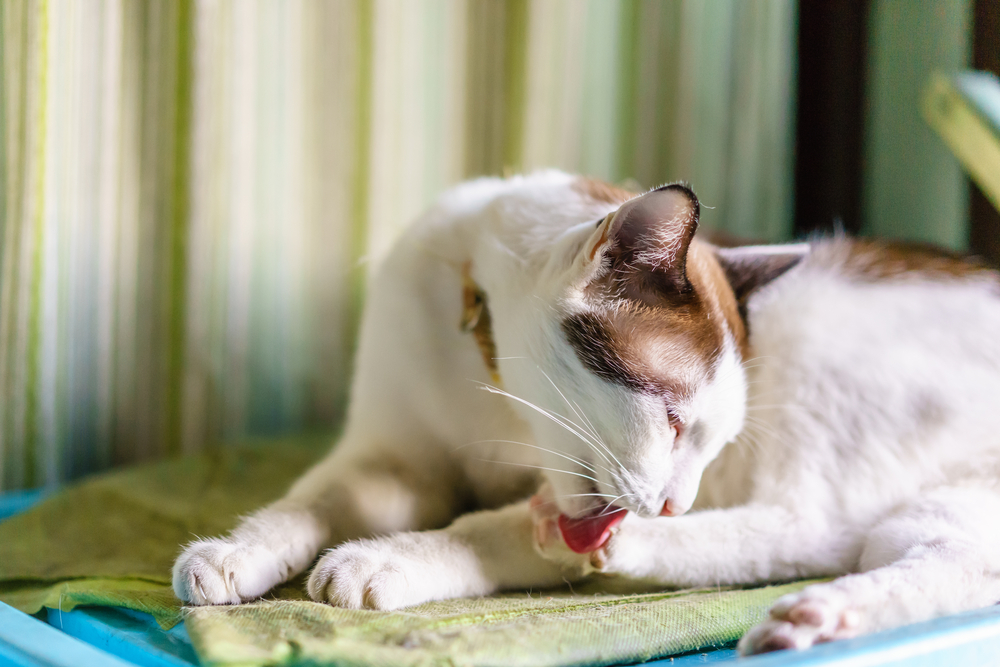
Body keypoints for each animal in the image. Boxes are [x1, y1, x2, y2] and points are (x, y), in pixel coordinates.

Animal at [172, 170, 1000, 656]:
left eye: (710, 441)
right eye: (673, 419)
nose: (673, 504)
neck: (488, 398)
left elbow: (483, 528)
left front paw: (388, 558)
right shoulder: (391, 460)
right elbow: (304, 501)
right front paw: (233, 551)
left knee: (813, 530)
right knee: (939, 559)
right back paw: (815, 618)